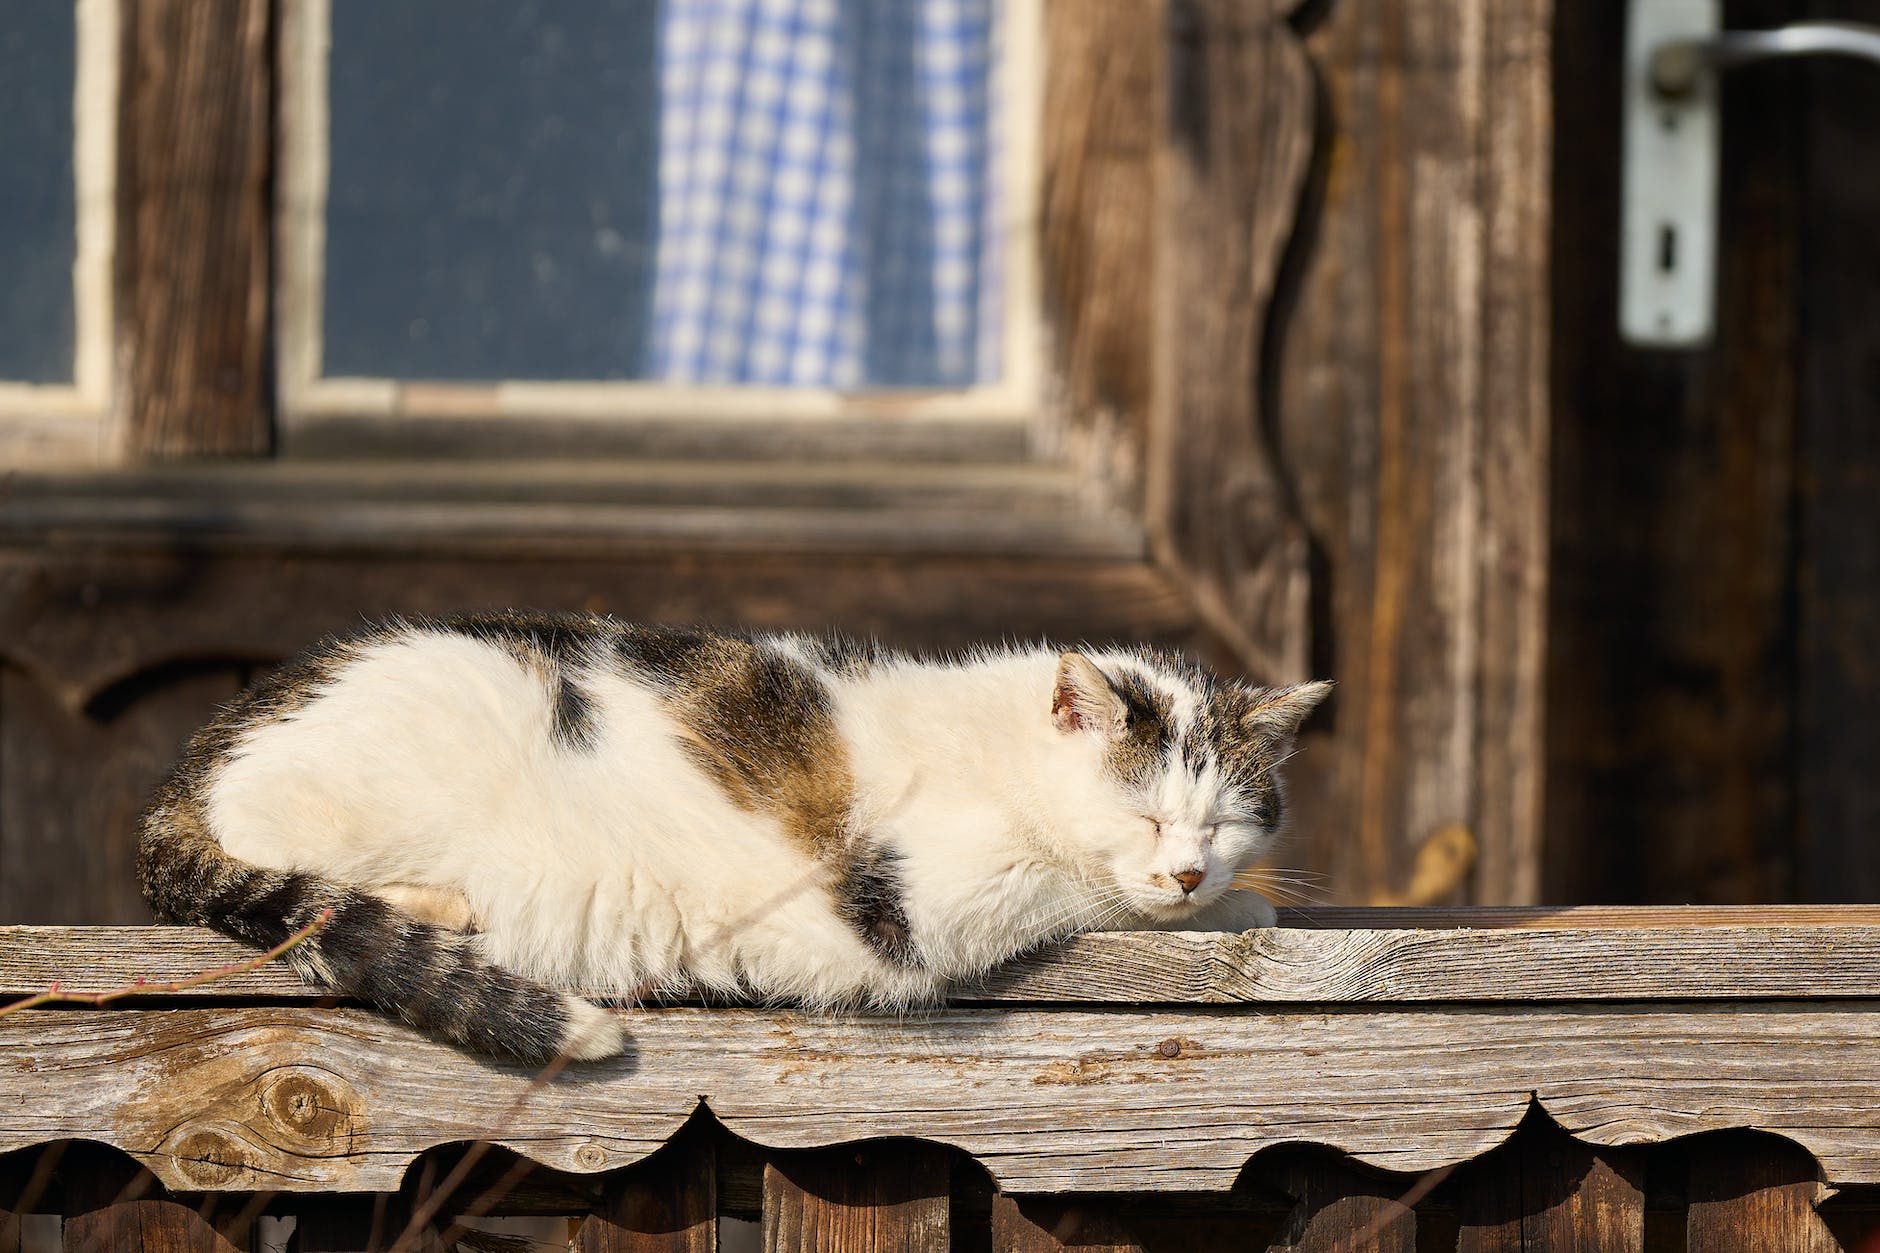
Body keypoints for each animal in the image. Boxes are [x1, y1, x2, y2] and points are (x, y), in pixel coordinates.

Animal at [139, 609, 1331, 1061]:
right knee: (296, 879)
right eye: (1145, 812)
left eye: (1226, 820)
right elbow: (1077, 887)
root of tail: (190, 763)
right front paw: (1209, 905)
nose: (1189, 869)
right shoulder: (923, 893)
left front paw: (1237, 898)